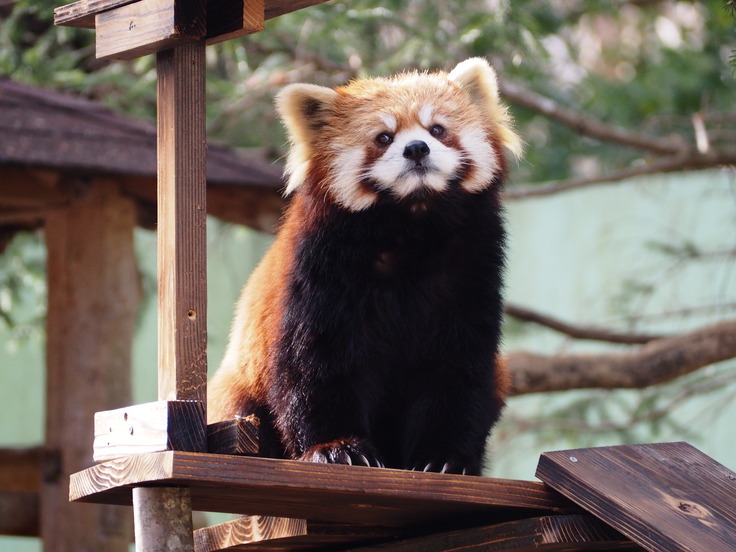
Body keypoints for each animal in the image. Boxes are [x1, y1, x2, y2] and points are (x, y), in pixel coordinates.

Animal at [207, 58, 516, 476]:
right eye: (384, 137)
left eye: (437, 129)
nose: (416, 148)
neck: (411, 229)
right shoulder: (320, 271)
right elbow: (314, 365)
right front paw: (336, 447)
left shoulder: (471, 268)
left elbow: (457, 366)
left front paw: (444, 458)